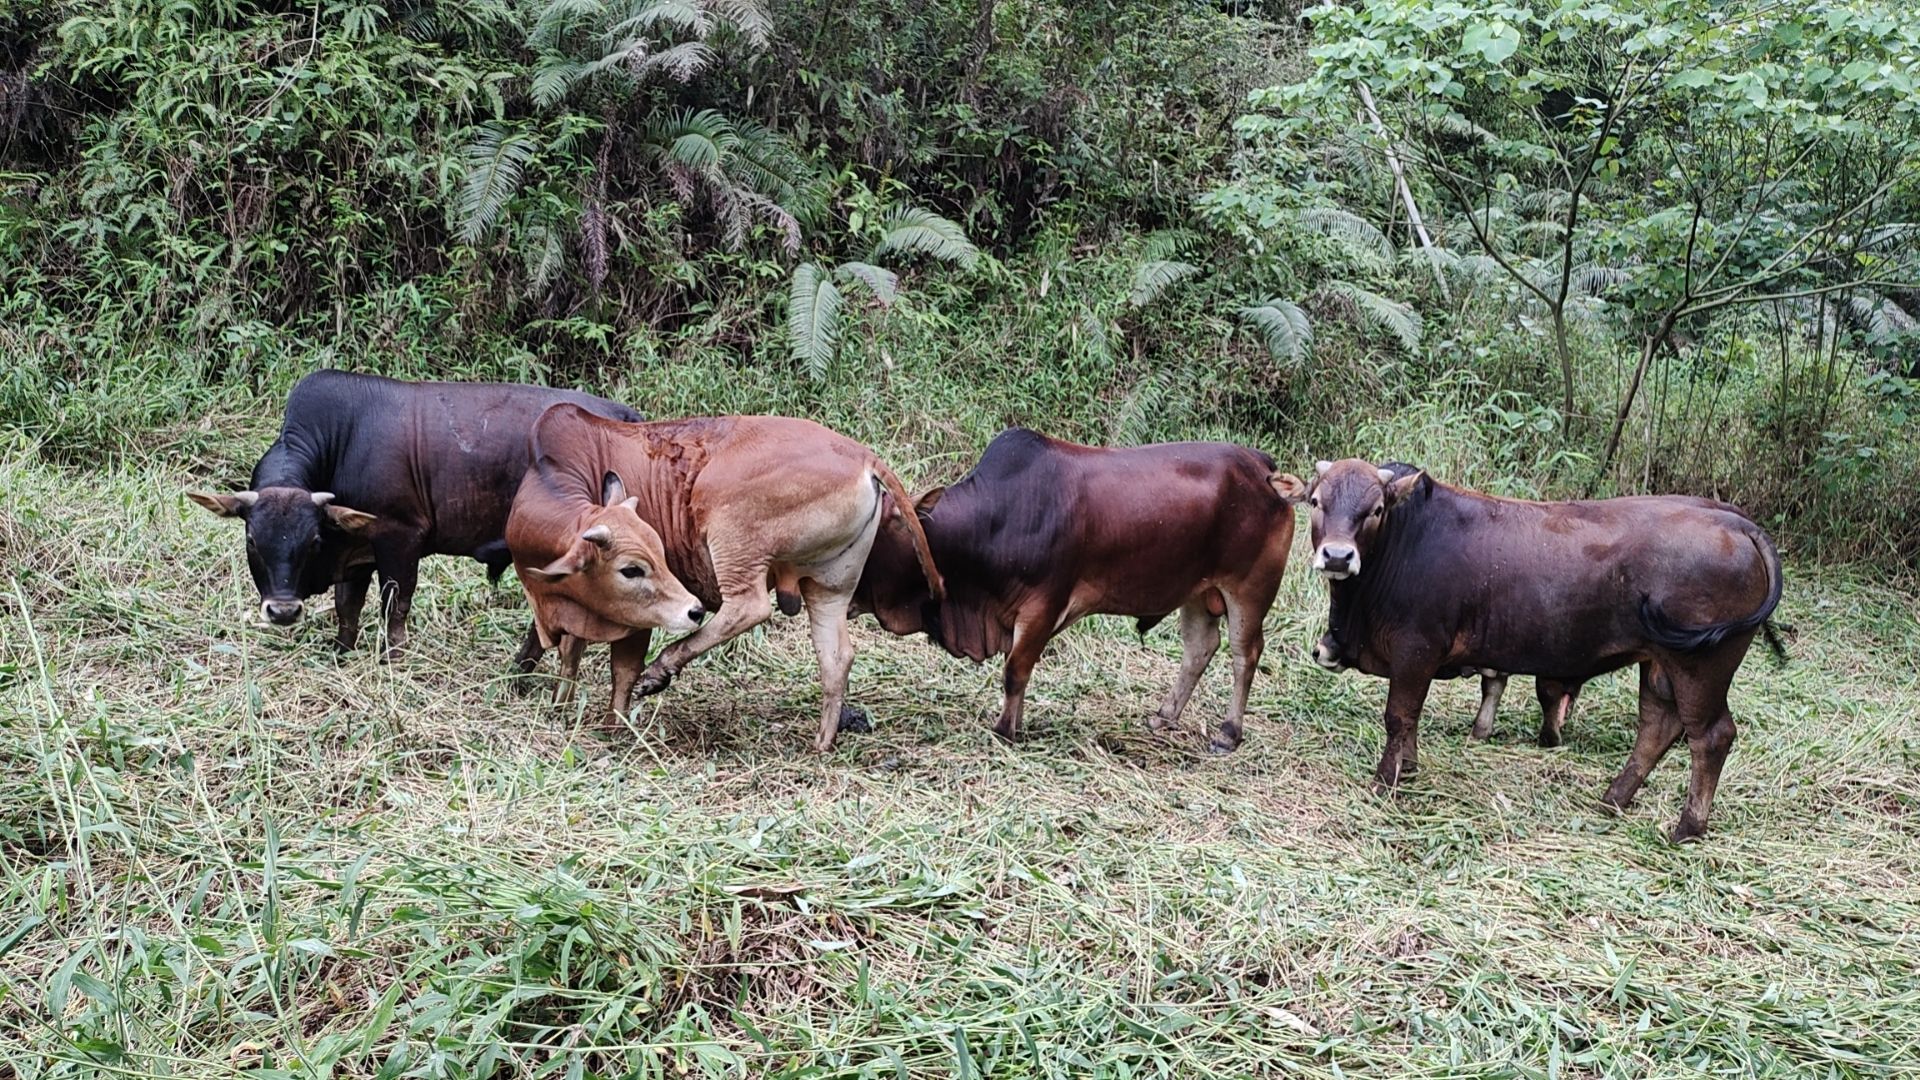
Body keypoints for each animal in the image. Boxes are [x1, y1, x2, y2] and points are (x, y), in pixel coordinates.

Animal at [190, 365, 637, 661]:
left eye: (313, 540)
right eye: (252, 539)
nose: (283, 611)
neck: (341, 442)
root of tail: (621, 414)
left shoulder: (399, 538)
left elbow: (395, 605)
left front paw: (393, 658)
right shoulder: (355, 549)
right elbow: (347, 608)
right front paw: (341, 652)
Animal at [503, 403, 936, 749]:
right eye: (632, 568)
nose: (691, 608)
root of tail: (862, 455)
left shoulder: (635, 618)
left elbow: (621, 673)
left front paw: (615, 730)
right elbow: (569, 657)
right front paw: (560, 706)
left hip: (732, 535)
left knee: (749, 607)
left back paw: (662, 668)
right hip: (829, 586)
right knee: (836, 656)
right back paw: (822, 743)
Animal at [856, 424, 1305, 745]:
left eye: (871, 535)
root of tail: (1263, 468)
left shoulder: (1043, 606)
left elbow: (1015, 670)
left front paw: (1004, 731)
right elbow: (1019, 672)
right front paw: (1016, 724)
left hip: (1249, 590)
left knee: (1245, 654)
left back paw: (1229, 733)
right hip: (1197, 592)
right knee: (1201, 649)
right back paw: (1164, 716)